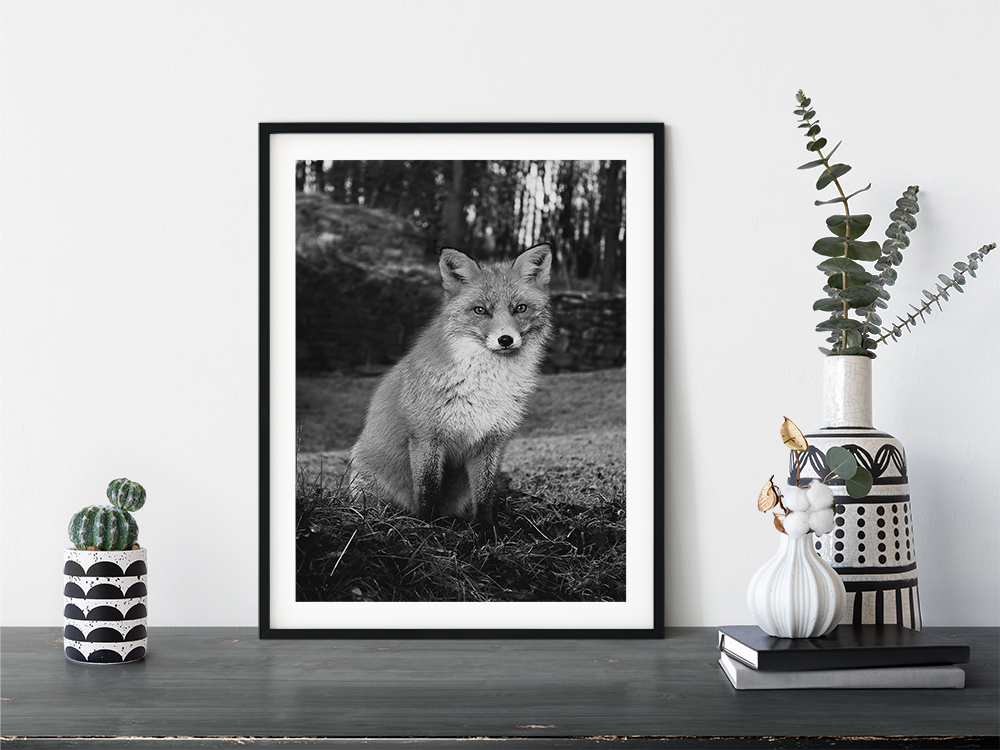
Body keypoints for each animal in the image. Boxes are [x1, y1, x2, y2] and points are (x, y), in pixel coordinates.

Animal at [349, 243, 553, 525]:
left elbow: (486, 494)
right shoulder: (426, 437)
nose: (505, 339)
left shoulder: (491, 441)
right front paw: (427, 525)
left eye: (520, 308)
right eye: (480, 310)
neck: (486, 384)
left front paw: (486, 529)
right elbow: (427, 489)